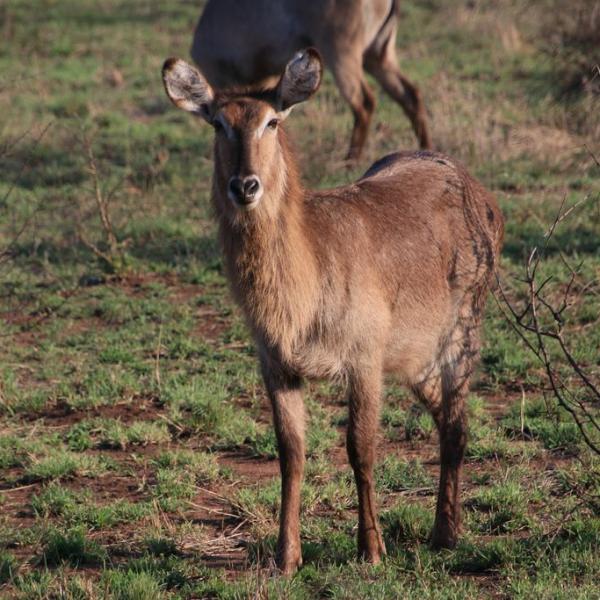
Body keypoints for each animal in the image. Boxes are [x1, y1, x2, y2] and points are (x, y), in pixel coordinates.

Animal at [159, 49, 502, 576]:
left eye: (273, 121)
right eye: (219, 123)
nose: (245, 185)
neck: (299, 295)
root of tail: (478, 190)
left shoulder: (362, 359)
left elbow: (360, 449)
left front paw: (371, 550)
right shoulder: (276, 365)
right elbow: (291, 453)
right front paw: (286, 556)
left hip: (462, 336)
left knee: (459, 425)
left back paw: (445, 535)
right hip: (414, 360)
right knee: (447, 420)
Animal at [192, 0, 432, 159]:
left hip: (342, 55)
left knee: (364, 102)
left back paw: (351, 162)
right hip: (378, 56)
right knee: (410, 94)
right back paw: (426, 151)